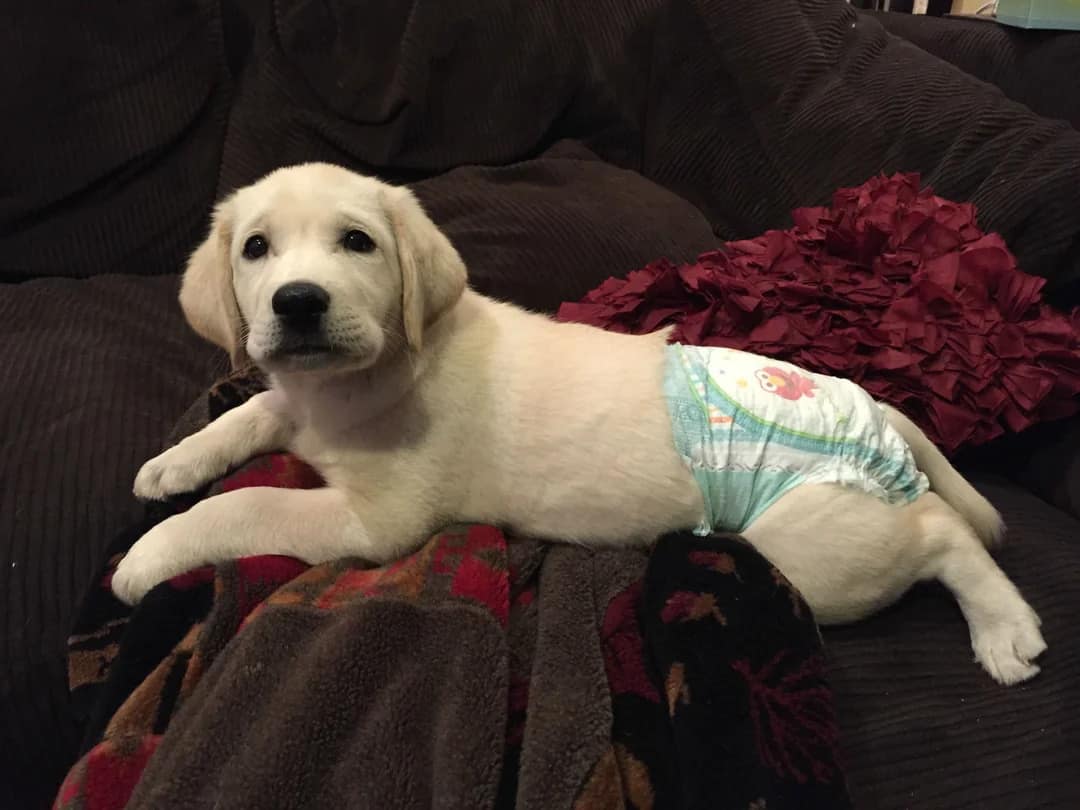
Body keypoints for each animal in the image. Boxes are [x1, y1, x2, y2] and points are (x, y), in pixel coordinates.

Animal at [111, 162, 1045, 682]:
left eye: (358, 243)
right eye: (255, 250)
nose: (298, 304)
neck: (355, 380)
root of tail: (875, 402)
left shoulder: (377, 522)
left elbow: (246, 504)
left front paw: (147, 557)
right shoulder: (293, 404)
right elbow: (251, 412)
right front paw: (172, 462)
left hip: (809, 549)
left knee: (940, 532)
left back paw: (1005, 630)